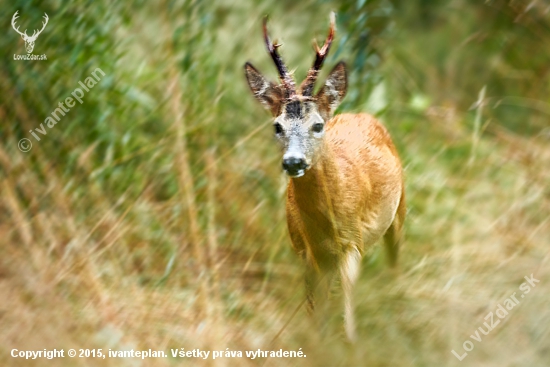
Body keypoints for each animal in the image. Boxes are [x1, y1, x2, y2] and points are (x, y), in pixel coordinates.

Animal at [245, 13, 406, 342]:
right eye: (277, 126)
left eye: (317, 125)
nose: (293, 162)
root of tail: (362, 114)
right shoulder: (305, 250)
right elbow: (313, 311)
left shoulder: (353, 242)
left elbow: (347, 311)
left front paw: (350, 343)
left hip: (399, 210)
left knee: (396, 263)